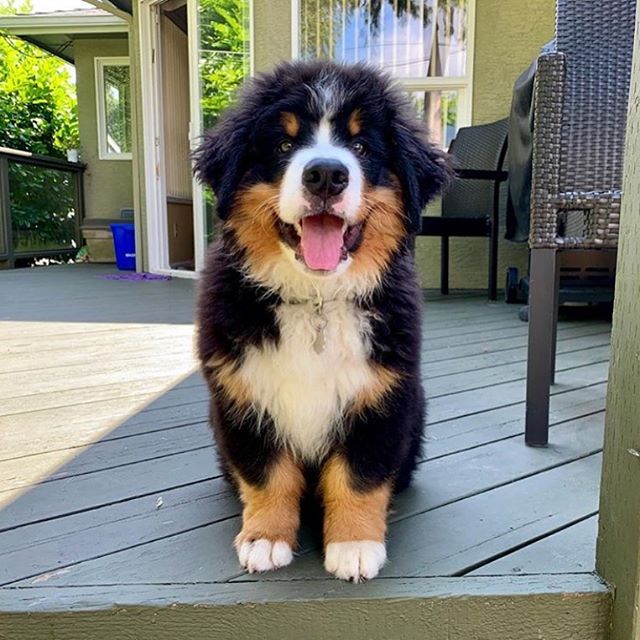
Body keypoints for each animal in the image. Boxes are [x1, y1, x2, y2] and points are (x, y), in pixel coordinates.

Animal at [195, 62, 450, 584]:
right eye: (282, 145)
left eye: (362, 147)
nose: (327, 174)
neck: (315, 300)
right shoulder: (243, 398)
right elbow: (267, 474)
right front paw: (265, 538)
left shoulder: (380, 401)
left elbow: (358, 476)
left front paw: (354, 545)